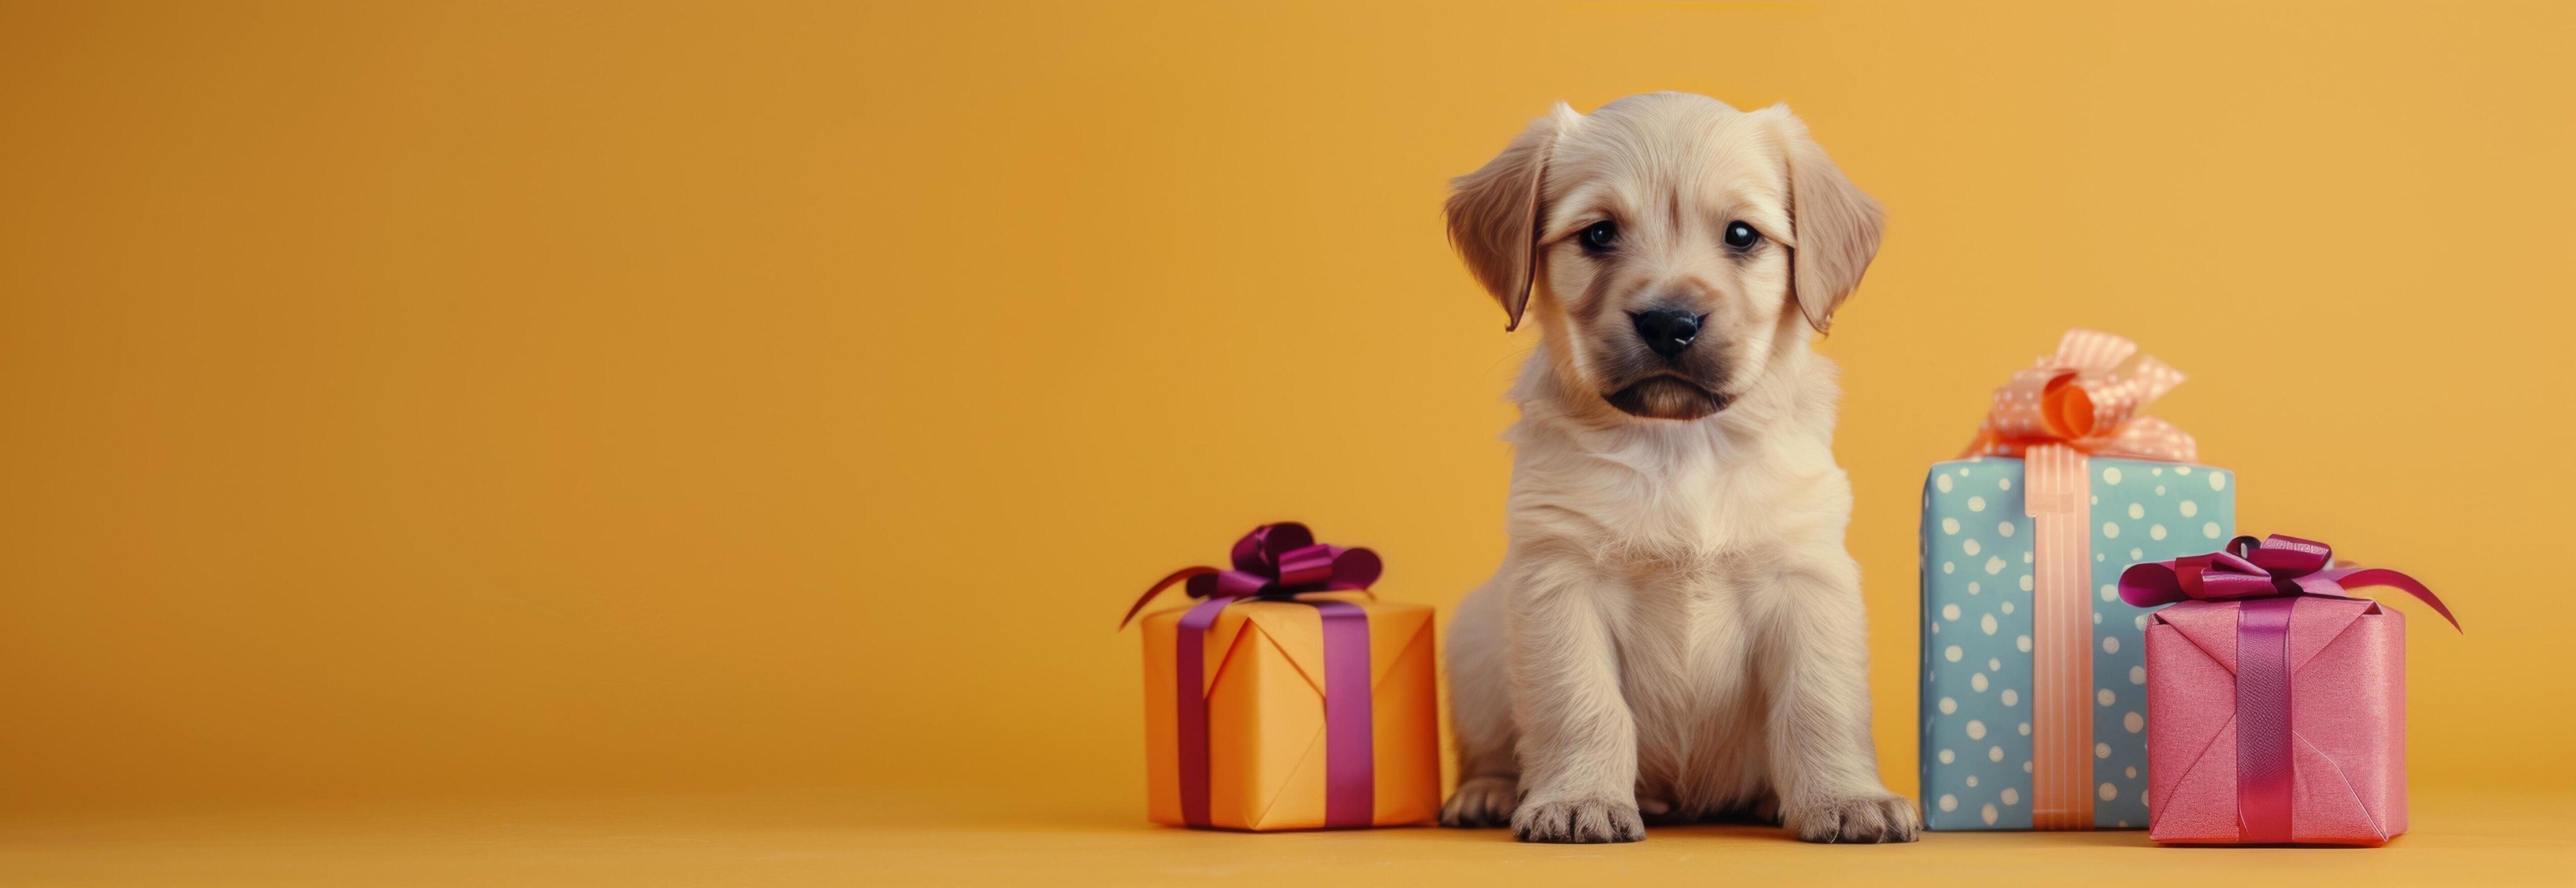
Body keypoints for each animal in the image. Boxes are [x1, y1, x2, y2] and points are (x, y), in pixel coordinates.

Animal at [1442, 91, 1926, 844]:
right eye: (1599, 234)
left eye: (1741, 235)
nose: (1669, 323)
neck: (1682, 447)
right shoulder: (1560, 579)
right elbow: (1580, 703)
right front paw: (1579, 797)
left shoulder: (1808, 578)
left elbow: (1820, 702)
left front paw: (1846, 797)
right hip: (1475, 639)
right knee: (1494, 746)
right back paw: (1489, 791)